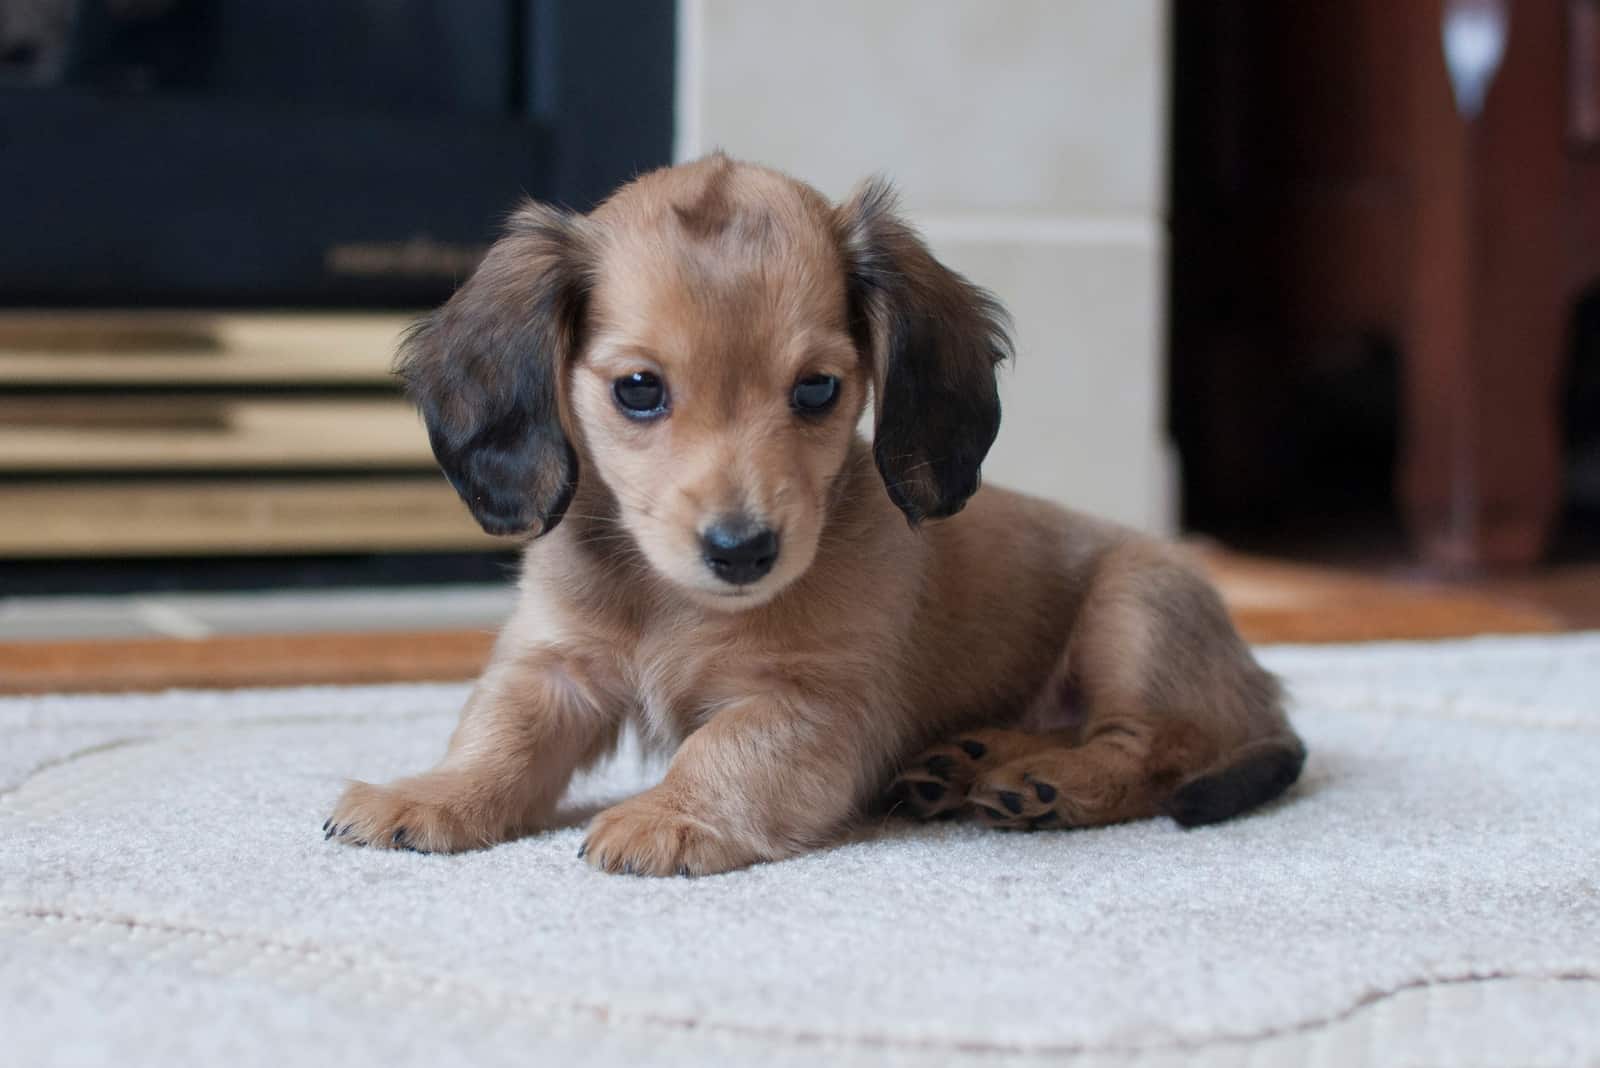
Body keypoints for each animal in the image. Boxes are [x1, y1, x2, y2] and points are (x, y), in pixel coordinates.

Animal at [321, 154, 1299, 869]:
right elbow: (499, 734)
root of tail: (1263, 698)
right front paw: (430, 796)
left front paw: (672, 815)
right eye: (638, 389)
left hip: (1134, 608)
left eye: (818, 389)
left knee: (1150, 748)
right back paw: (969, 761)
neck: (677, 604)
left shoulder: (816, 705)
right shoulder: (552, 664)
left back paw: (1053, 782)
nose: (742, 550)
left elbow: (725, 746)